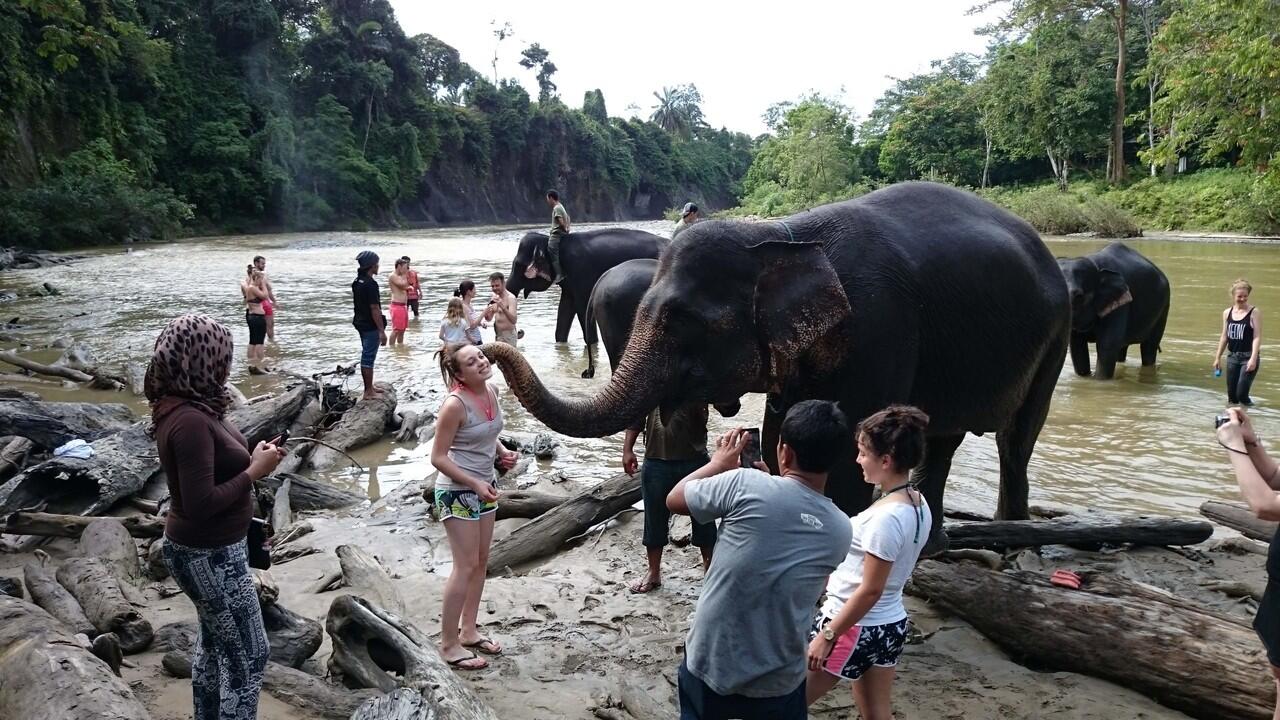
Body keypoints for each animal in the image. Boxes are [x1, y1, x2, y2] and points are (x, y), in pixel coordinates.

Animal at [499, 229, 665, 371]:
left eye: (518, 265)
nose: (520, 331)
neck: (551, 242)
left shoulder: (580, 272)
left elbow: (582, 306)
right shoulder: (568, 281)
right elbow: (565, 308)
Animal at [1059, 240, 1172, 379]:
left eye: (1078, 296)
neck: (1096, 267)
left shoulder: (1120, 306)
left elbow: (1107, 347)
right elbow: (1077, 348)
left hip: (1163, 308)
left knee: (1149, 348)